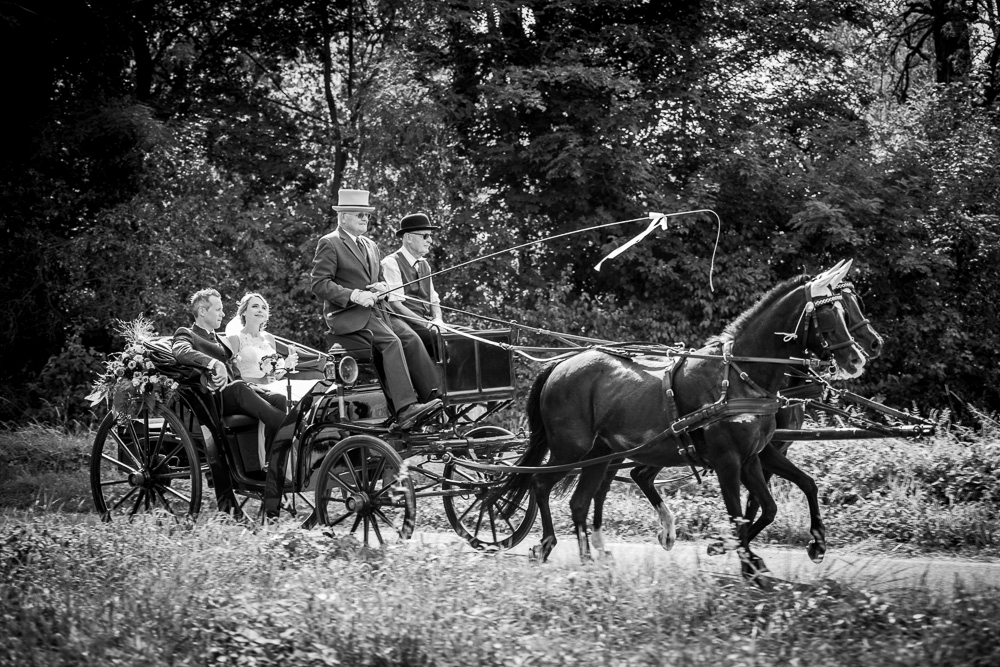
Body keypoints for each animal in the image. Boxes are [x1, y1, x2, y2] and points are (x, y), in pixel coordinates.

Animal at [490, 260, 860, 580]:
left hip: (600, 454)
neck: (740, 374)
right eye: (830, 312)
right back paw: (546, 544)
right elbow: (738, 514)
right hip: (571, 450)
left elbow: (780, 500)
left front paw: (811, 545)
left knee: (581, 502)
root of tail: (561, 364)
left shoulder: (753, 456)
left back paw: (589, 561)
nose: (857, 359)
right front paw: (745, 564)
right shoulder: (728, 460)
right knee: (540, 485)